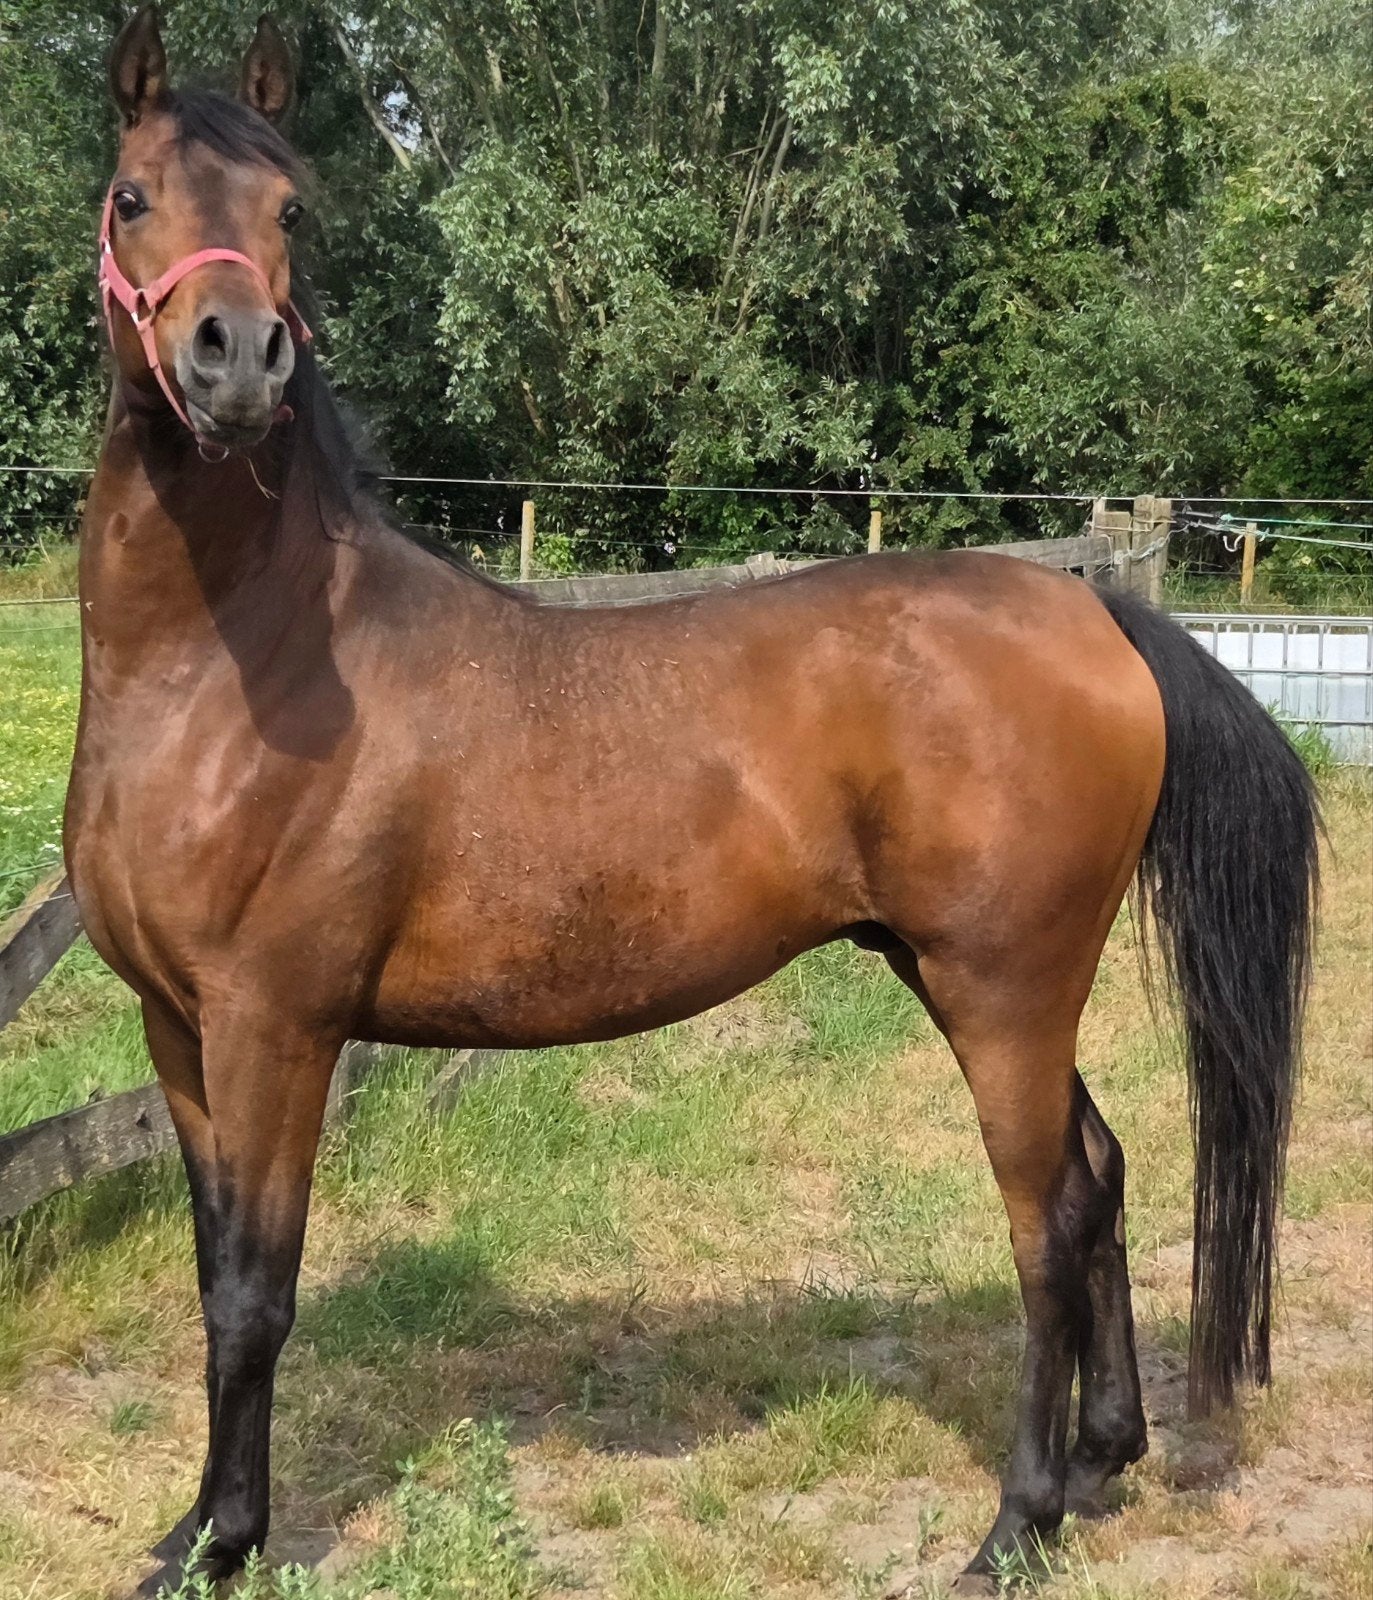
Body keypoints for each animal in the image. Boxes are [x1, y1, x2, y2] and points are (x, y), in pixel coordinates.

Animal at [67, 8, 1318, 1594]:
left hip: (1005, 986)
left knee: (1043, 1220)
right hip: (963, 976)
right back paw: (1102, 1460)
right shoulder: (177, 1030)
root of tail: (1094, 616)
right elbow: (209, 1271)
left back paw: (1015, 1521)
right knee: (1094, 1179)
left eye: (291, 210)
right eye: (132, 197)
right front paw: (192, 1530)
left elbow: (251, 1291)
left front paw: (225, 1541)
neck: (250, 664)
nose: (236, 361)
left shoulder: (274, 1029)